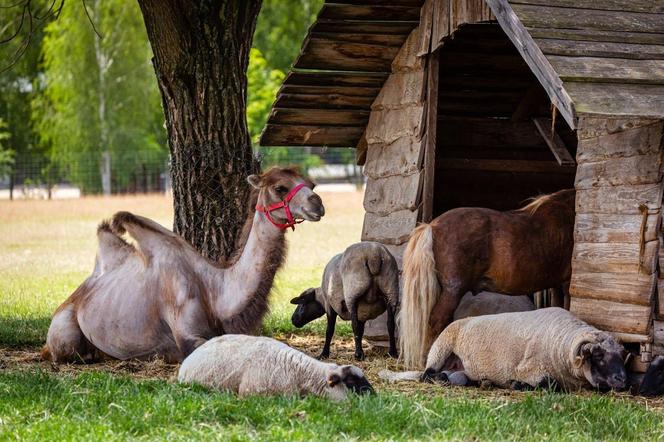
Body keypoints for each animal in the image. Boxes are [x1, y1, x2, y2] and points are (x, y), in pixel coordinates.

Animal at [422, 308, 632, 390]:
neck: (560, 342)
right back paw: (440, 377)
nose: (622, 379)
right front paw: (517, 384)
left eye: (621, 354)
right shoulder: (527, 368)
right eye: (598, 354)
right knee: (426, 374)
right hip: (441, 346)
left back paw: (482, 381)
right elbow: (549, 383)